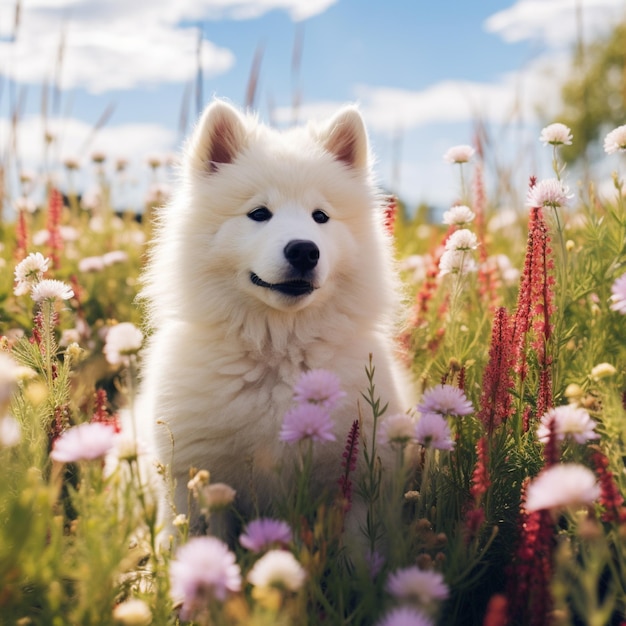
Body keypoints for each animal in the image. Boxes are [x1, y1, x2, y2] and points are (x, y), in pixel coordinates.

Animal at [137, 100, 410, 532]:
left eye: (320, 216)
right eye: (259, 213)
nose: (304, 250)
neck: (278, 352)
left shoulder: (360, 483)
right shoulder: (196, 480)